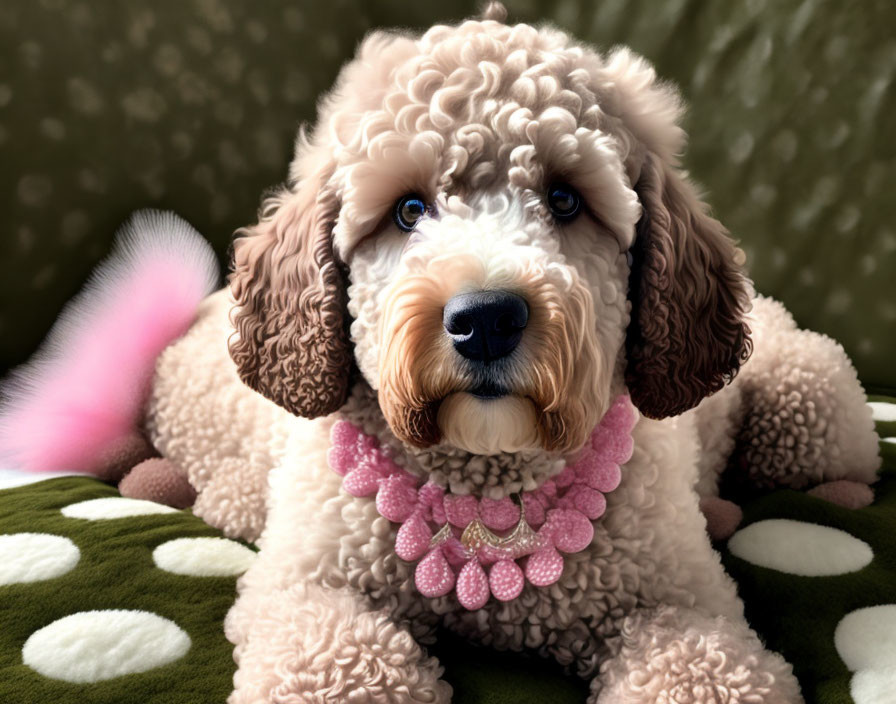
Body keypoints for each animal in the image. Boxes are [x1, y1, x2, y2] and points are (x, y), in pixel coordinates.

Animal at [1, 4, 880, 700]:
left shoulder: (681, 604)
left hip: (811, 397)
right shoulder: (311, 587)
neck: (484, 482)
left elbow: (701, 666)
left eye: (566, 198)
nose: (486, 318)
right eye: (407, 209)